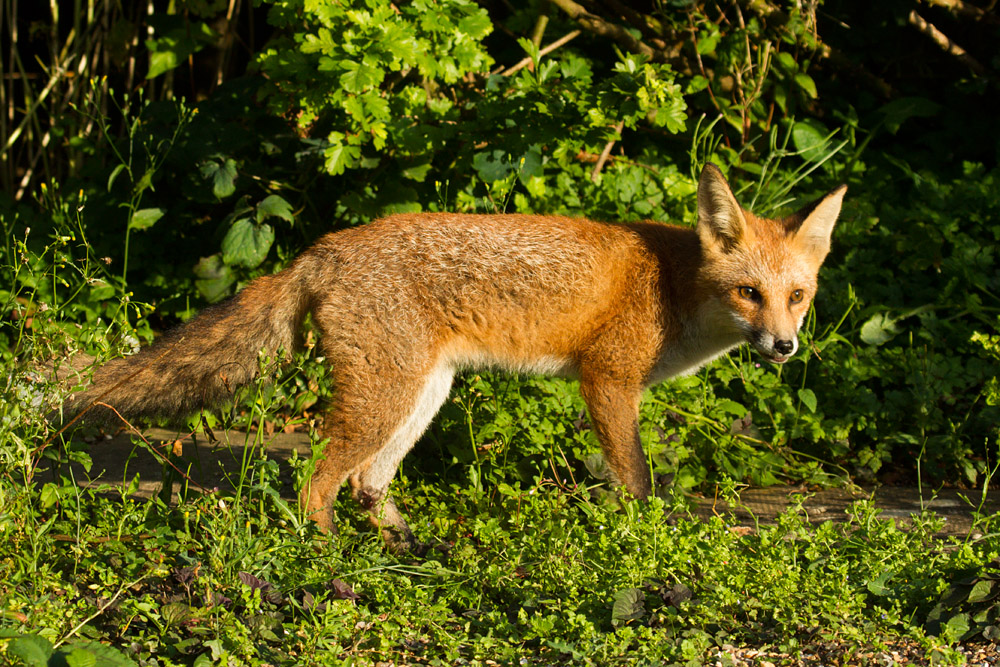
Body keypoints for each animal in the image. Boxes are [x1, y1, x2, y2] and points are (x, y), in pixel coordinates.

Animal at [63, 164, 846, 549]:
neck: (675, 285)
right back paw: (329, 560)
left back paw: (409, 547)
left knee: (366, 482)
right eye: (748, 292)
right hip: (385, 396)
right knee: (318, 484)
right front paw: (642, 538)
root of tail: (321, 248)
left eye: (797, 296)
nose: (784, 346)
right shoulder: (608, 380)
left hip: (422, 393)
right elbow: (638, 480)